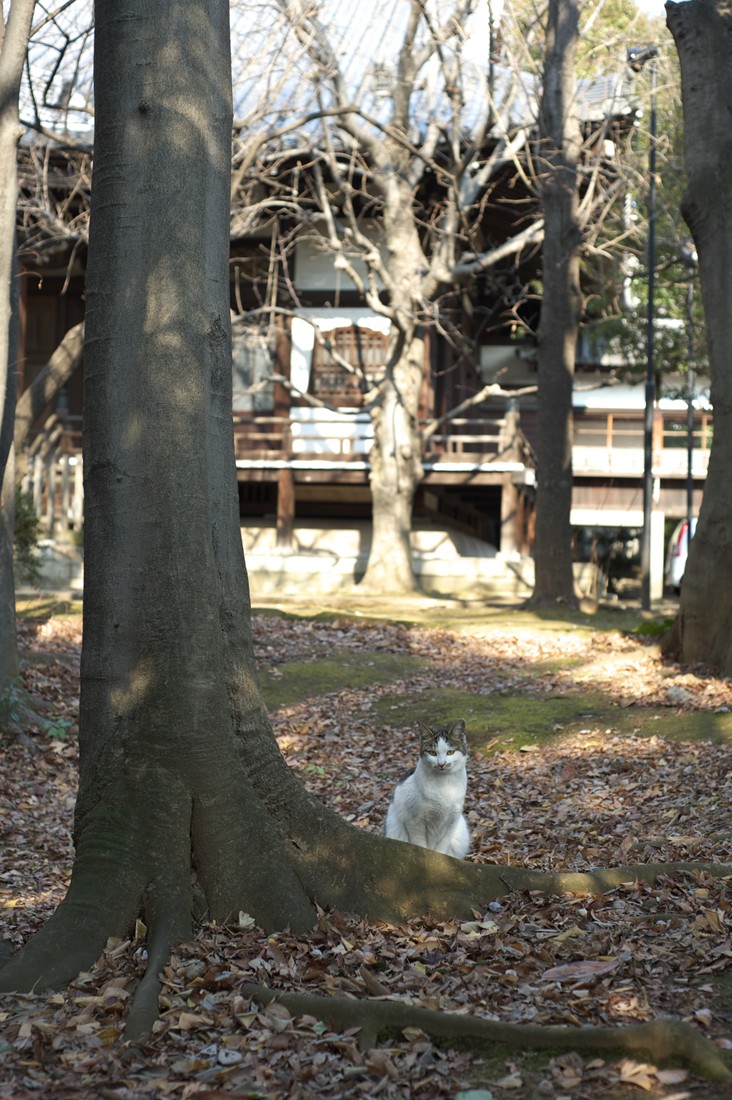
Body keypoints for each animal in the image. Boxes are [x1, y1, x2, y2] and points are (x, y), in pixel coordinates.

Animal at [383, 717, 468, 862]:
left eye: (450, 752)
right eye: (432, 753)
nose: (441, 764)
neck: (444, 785)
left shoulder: (451, 822)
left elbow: (442, 847)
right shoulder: (414, 821)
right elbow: (420, 845)